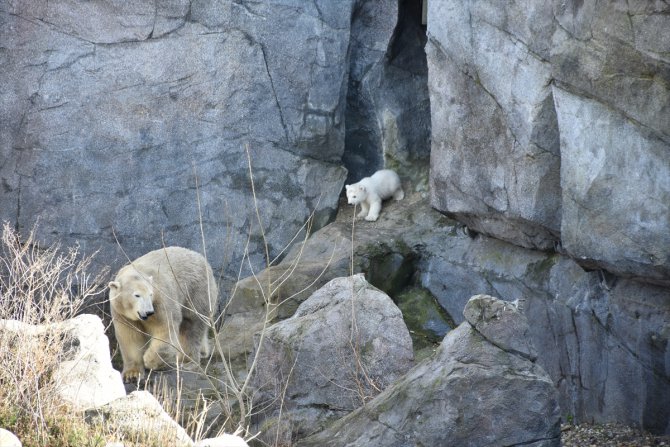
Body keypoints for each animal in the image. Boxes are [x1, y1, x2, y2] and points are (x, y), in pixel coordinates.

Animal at [108, 247, 218, 384]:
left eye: (150, 294)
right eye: (137, 295)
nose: (149, 312)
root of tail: (203, 260)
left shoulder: (161, 301)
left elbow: (165, 329)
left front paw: (149, 360)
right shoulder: (121, 313)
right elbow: (130, 336)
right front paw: (132, 374)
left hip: (196, 291)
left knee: (191, 325)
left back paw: (187, 362)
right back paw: (203, 352)